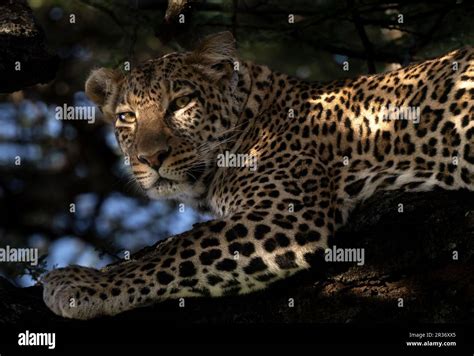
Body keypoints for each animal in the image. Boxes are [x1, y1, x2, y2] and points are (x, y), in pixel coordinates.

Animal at [41, 31, 474, 320]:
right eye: (127, 117)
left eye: (181, 103)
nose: (151, 157)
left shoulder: (283, 214)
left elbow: (173, 249)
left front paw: (82, 284)